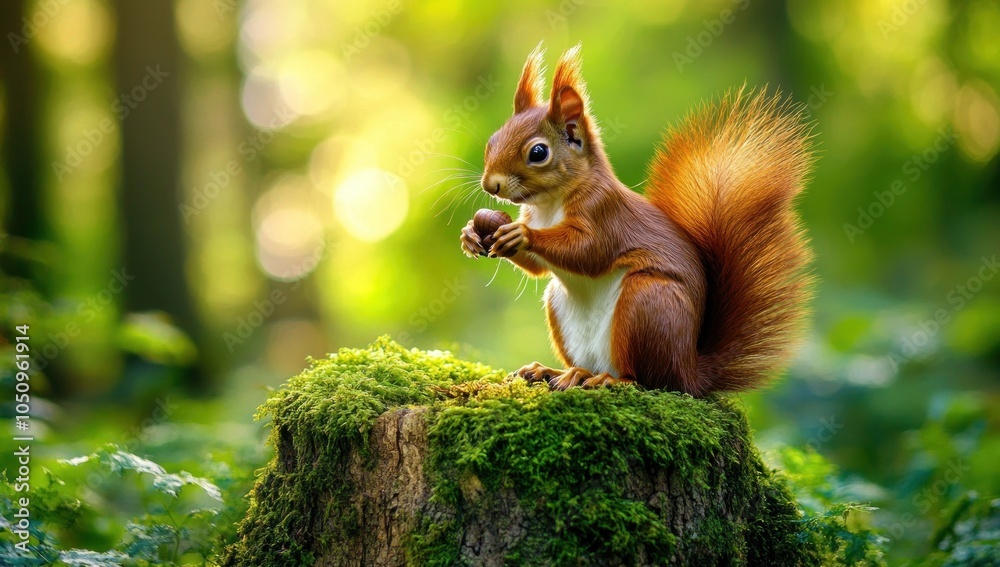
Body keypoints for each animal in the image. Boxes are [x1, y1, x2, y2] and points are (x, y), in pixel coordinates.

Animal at [459, 44, 814, 396]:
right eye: (492, 140)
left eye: (537, 153)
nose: (490, 184)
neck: (549, 204)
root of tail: (690, 371)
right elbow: (538, 268)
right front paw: (471, 234)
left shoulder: (604, 214)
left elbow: (588, 252)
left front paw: (522, 234)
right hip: (560, 306)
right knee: (589, 365)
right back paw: (559, 372)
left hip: (647, 302)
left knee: (649, 379)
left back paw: (612, 379)